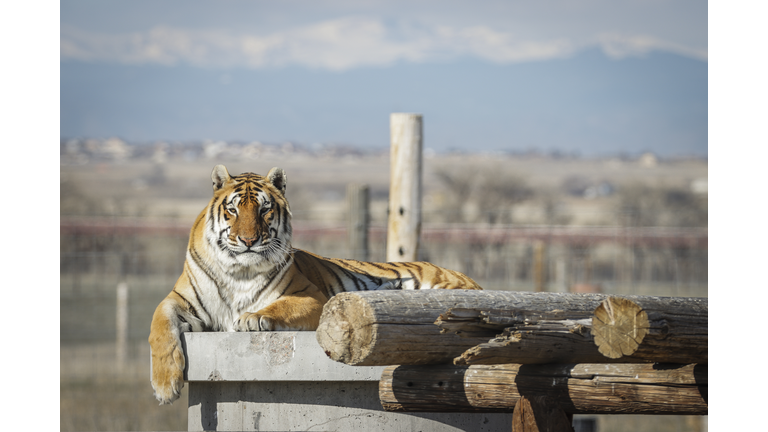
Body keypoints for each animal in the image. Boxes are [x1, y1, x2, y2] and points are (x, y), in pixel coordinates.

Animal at [148, 165, 482, 404]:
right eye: (233, 209)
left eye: (264, 209)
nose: (248, 240)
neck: (239, 271)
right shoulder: (179, 300)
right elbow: (160, 326)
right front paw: (165, 387)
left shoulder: (311, 297)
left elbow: (277, 306)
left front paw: (252, 317)